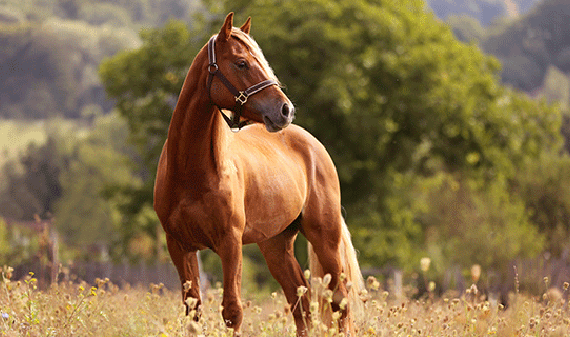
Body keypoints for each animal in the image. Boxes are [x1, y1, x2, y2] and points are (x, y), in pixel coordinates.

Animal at [153, 11, 362, 334]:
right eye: (241, 63)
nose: (285, 110)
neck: (191, 173)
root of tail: (314, 145)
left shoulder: (230, 243)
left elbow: (232, 310)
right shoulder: (180, 246)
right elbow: (193, 312)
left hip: (324, 237)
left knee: (339, 302)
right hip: (275, 245)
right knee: (300, 303)